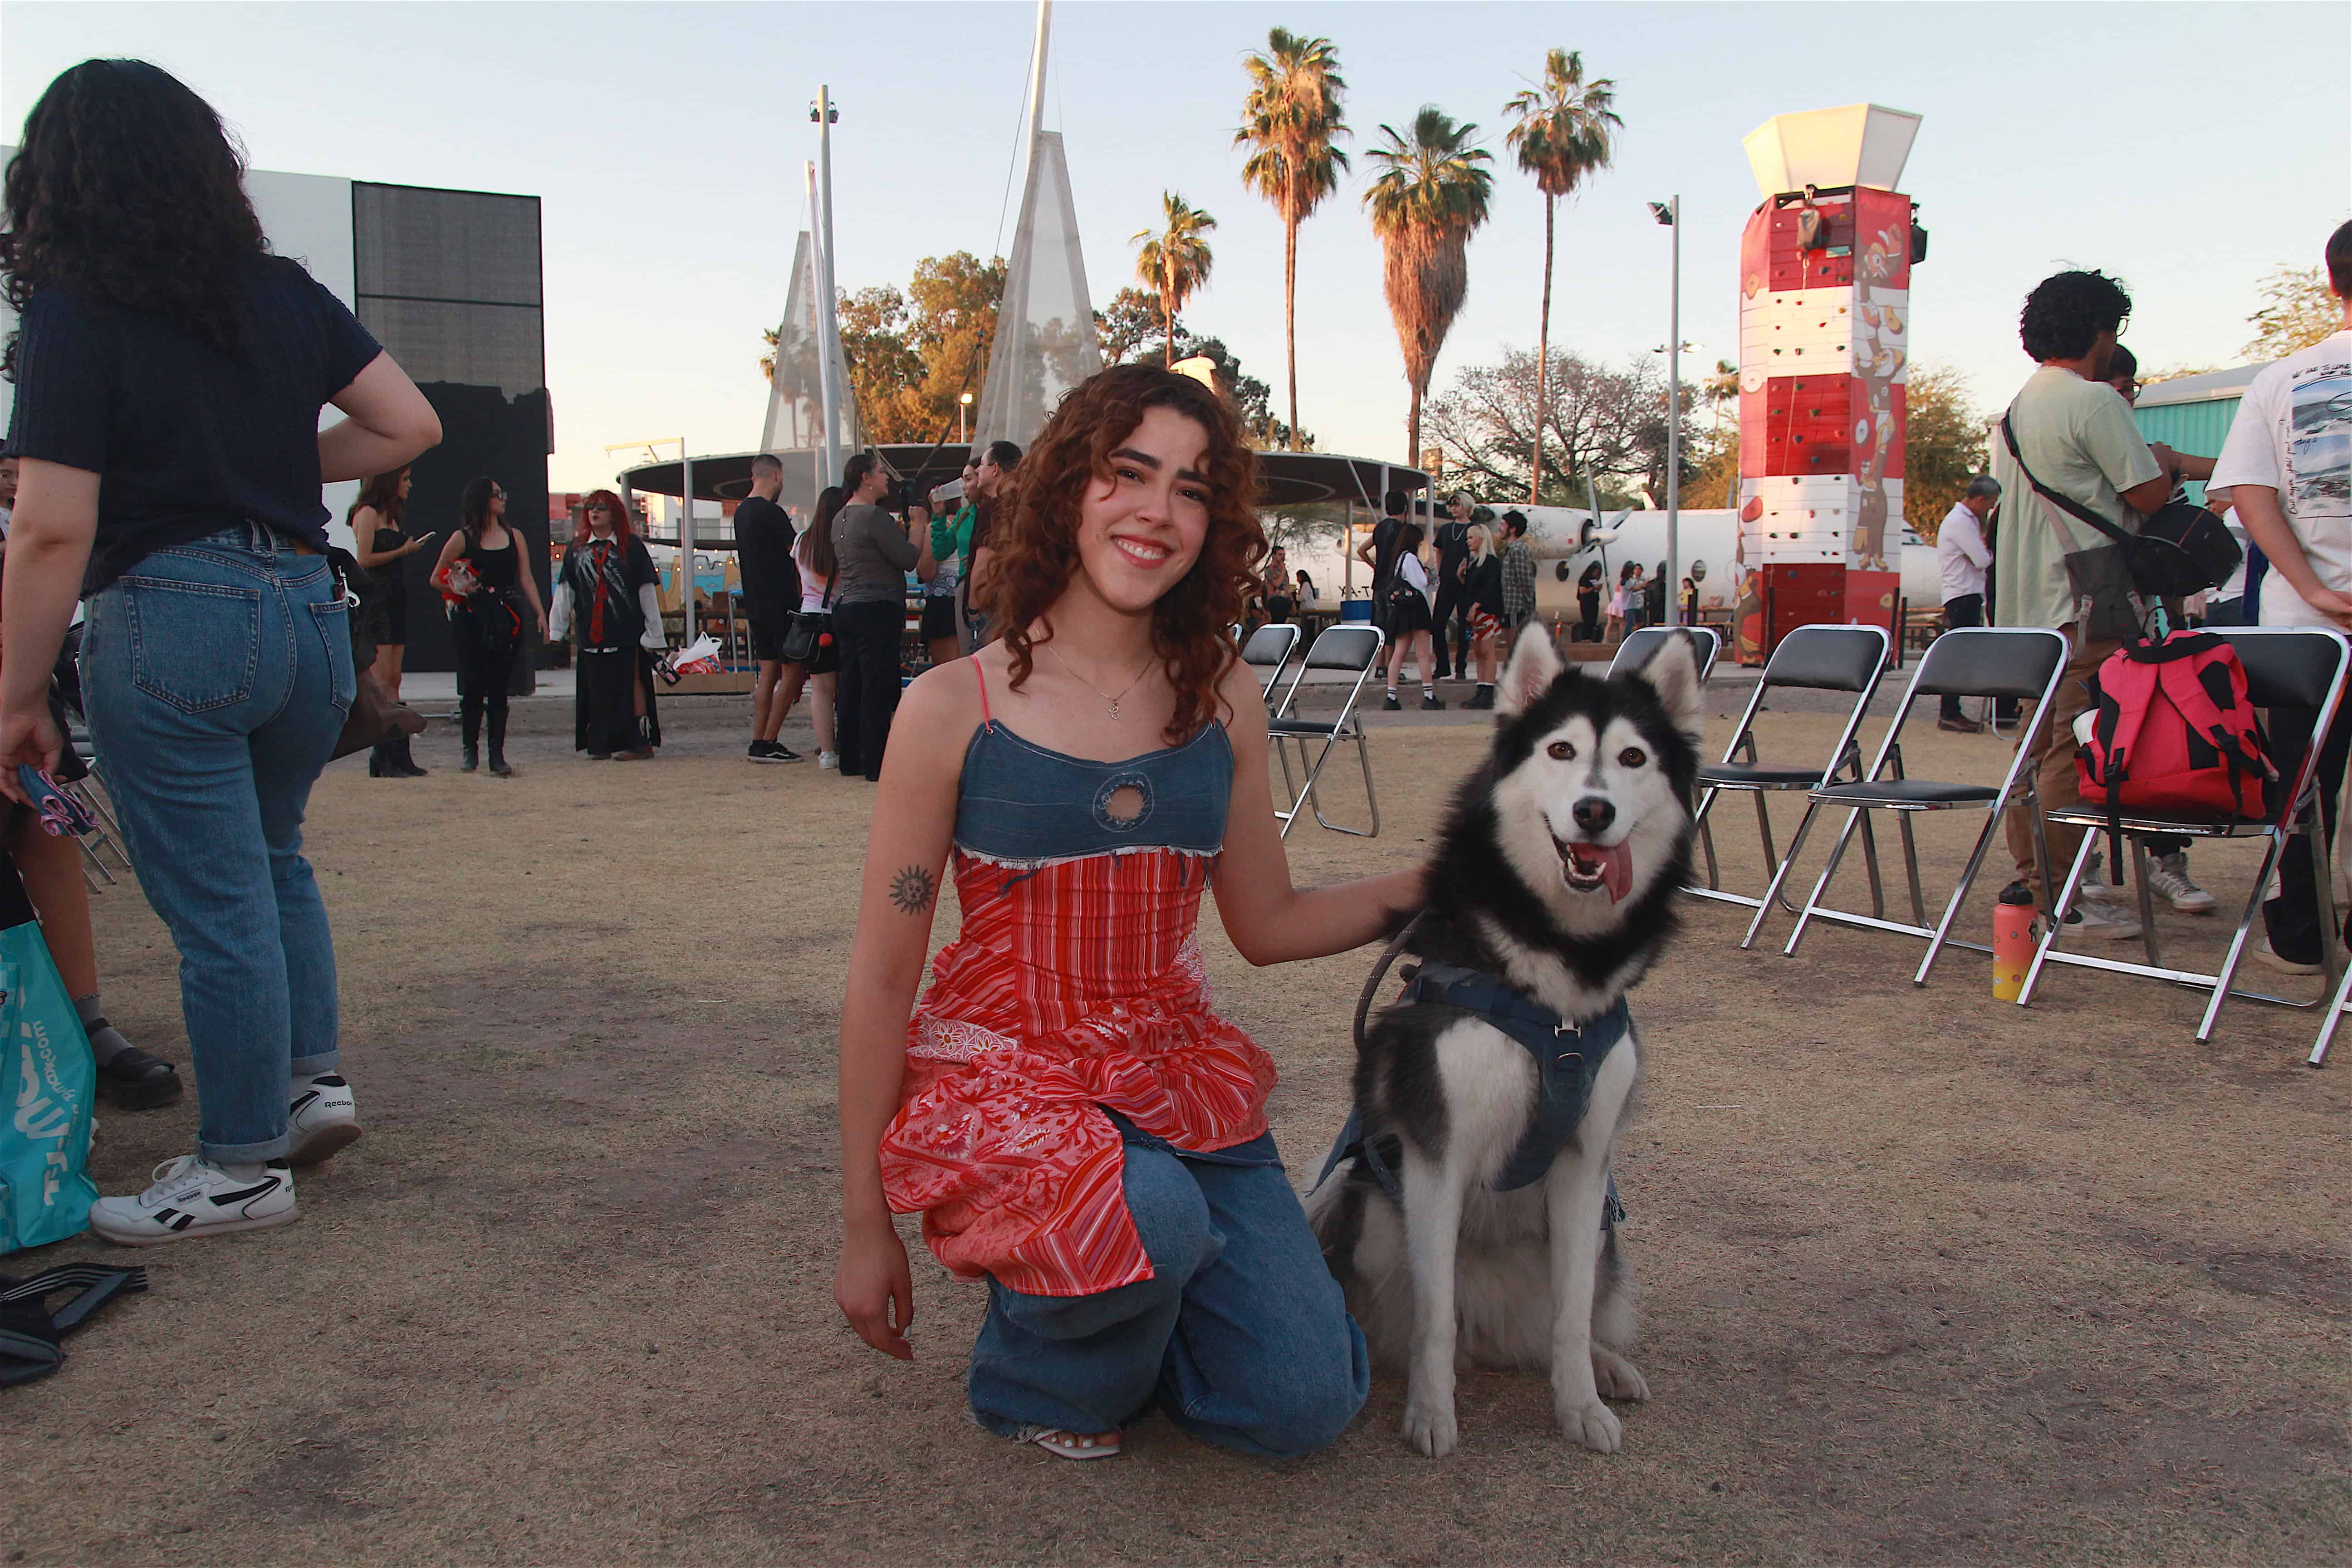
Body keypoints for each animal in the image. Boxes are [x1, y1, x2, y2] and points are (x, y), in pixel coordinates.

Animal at [1308, 630, 1712, 1457]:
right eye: (1560, 749)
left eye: (1632, 758)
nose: (1593, 811)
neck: (1554, 993)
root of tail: (1489, 1327)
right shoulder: (1437, 1156)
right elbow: (1433, 1317)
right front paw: (1431, 1415)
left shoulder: (1586, 1162)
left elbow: (1571, 1312)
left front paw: (1580, 1405)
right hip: (1369, 1208)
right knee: (1420, 1318)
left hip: (1600, 1227)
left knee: (1557, 1316)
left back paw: (1605, 1365)